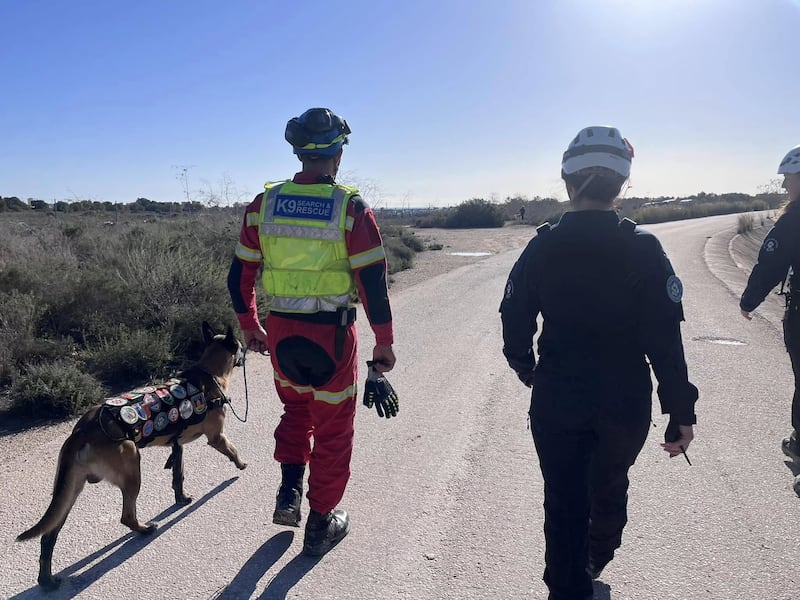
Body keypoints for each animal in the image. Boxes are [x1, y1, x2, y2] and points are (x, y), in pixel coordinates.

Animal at [16, 322, 247, 588]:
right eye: (240, 346)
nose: (246, 350)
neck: (209, 371)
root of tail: (82, 430)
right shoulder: (216, 437)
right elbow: (232, 448)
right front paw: (241, 464)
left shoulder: (177, 446)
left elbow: (178, 475)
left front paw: (181, 497)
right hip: (132, 466)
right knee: (126, 516)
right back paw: (145, 529)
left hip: (69, 491)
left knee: (49, 534)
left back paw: (47, 580)